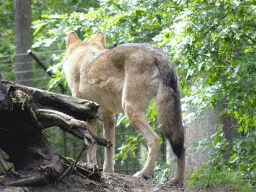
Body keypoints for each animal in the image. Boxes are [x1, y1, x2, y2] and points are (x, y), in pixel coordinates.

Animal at [63, 31, 185, 186]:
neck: (82, 55)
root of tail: (159, 54)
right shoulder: (109, 117)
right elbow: (109, 148)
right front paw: (108, 172)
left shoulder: (90, 117)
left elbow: (92, 147)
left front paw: (92, 168)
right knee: (181, 144)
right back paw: (177, 181)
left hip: (130, 109)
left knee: (155, 140)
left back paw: (143, 173)